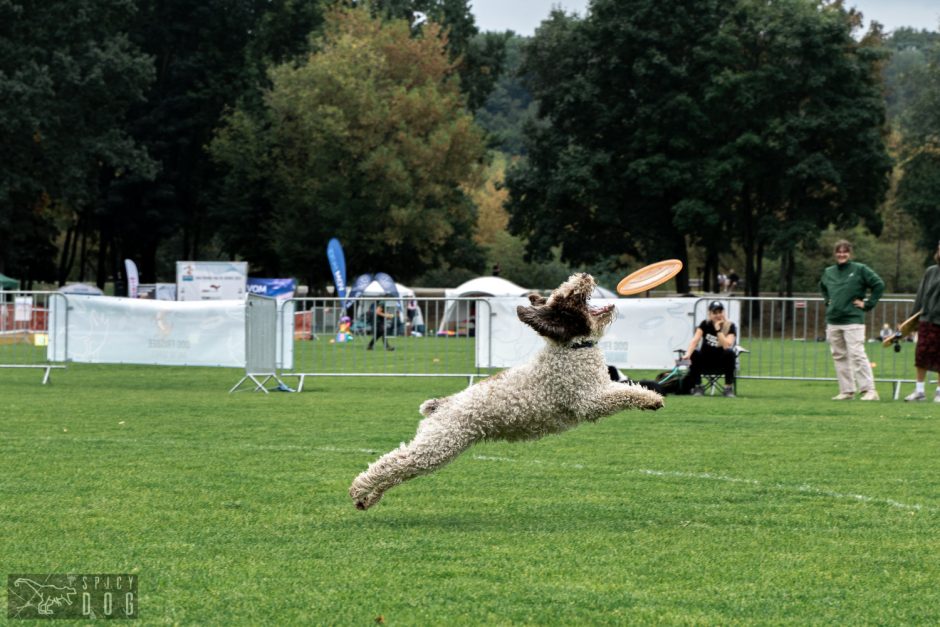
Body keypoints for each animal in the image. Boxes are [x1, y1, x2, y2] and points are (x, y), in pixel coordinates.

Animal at [348, 272, 664, 508]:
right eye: (569, 297)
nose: (584, 276)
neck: (571, 349)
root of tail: (443, 404)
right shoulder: (588, 401)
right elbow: (623, 394)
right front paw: (652, 398)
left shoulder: (598, 387)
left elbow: (623, 386)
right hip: (438, 446)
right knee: (390, 463)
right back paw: (358, 488)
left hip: (437, 450)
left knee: (398, 471)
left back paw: (368, 500)